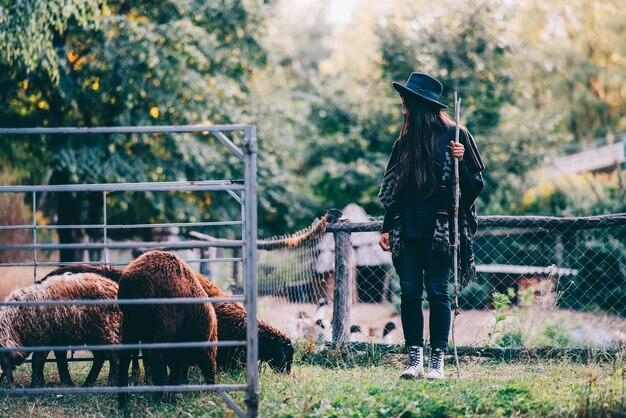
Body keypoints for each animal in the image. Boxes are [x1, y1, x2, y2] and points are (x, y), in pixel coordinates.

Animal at [117, 250, 217, 406]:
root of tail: (134, 281)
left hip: (130, 324)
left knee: (125, 355)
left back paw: (124, 400)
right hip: (165, 323)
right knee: (156, 355)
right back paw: (163, 395)